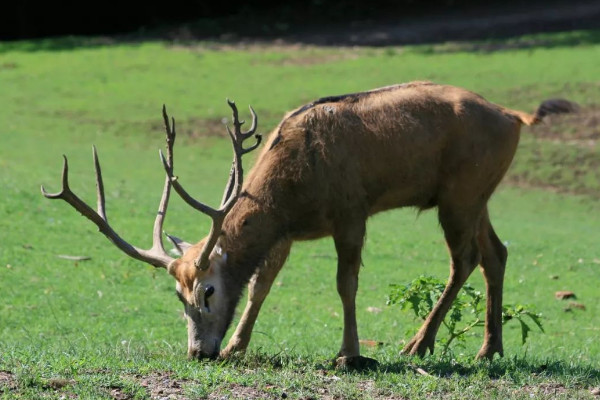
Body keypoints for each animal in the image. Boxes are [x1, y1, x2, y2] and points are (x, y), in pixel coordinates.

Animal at [42, 81, 576, 368]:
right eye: (177, 295)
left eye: (208, 291)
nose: (198, 352)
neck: (291, 193)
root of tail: (515, 117)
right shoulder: (286, 233)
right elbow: (261, 286)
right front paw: (236, 346)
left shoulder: (351, 210)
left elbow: (346, 283)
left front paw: (350, 353)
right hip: (475, 193)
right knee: (496, 252)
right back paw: (489, 349)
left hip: (460, 193)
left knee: (464, 257)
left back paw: (418, 344)